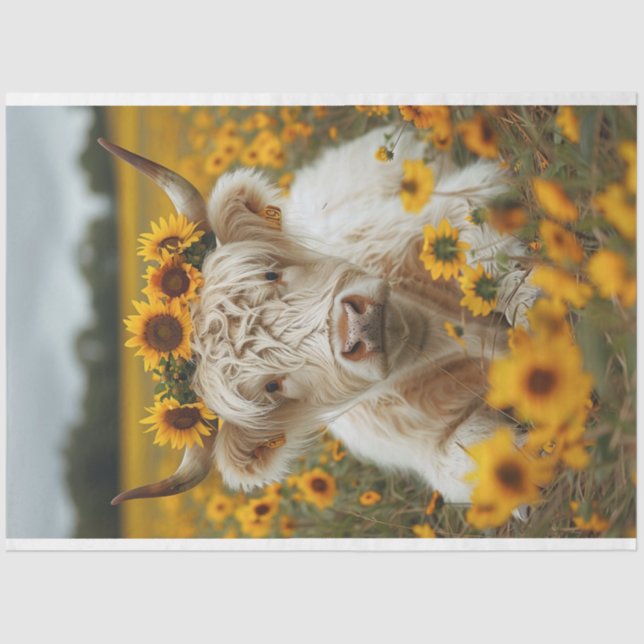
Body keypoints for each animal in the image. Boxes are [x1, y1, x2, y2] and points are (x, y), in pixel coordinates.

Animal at [100, 125, 537, 507]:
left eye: (271, 274)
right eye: (272, 386)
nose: (358, 327)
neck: (437, 332)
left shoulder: (457, 206)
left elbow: (490, 254)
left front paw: (528, 299)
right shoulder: (430, 447)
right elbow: (467, 459)